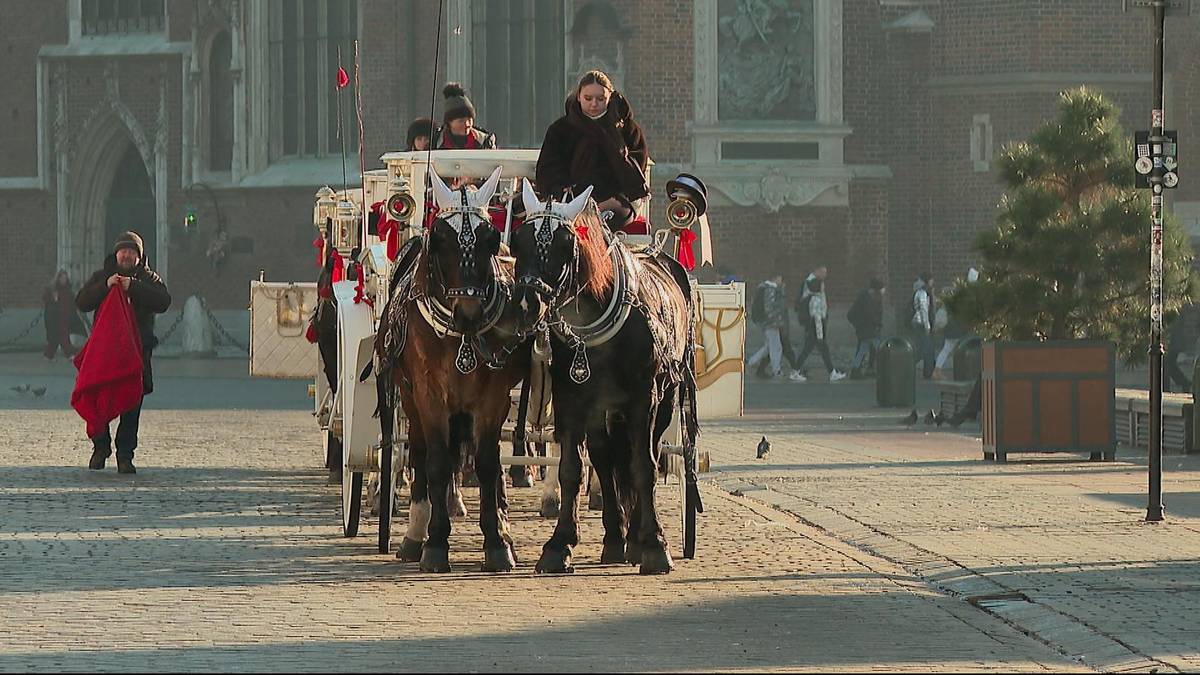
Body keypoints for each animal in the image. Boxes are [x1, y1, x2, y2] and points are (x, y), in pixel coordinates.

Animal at [372, 165, 528, 569]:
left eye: (491, 239)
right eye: (441, 239)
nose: (468, 312)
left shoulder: (493, 399)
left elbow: (488, 463)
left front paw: (497, 543)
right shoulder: (429, 395)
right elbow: (438, 462)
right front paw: (436, 544)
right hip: (409, 398)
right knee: (421, 453)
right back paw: (415, 534)